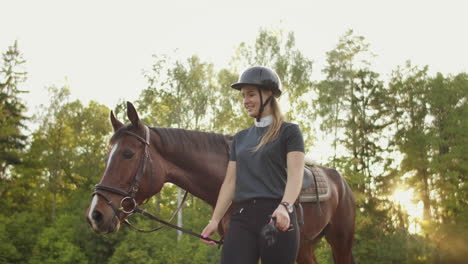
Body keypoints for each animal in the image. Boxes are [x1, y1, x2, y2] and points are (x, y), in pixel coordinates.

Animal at [86, 101, 354, 264]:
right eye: (107, 155)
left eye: (128, 154)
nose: (95, 215)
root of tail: (341, 181)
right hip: (305, 246)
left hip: (340, 242)